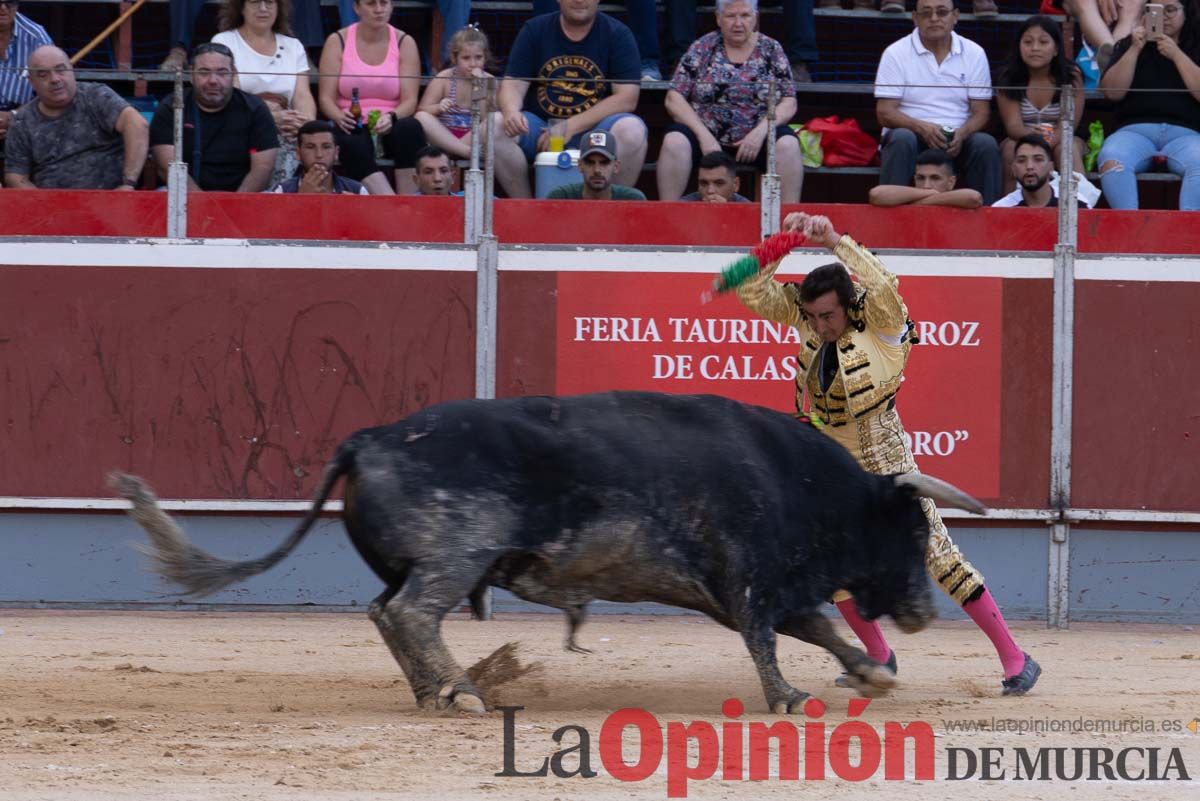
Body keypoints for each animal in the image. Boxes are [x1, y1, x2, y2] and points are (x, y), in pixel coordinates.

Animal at [108, 390, 984, 709]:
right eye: (912, 531)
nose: (925, 610)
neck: (804, 480)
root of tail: (368, 438)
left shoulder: (750, 589)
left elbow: (821, 626)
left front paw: (869, 672)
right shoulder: (752, 581)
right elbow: (771, 642)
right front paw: (790, 697)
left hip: (429, 561)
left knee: (385, 613)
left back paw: (439, 690)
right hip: (455, 554)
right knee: (410, 612)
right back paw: (462, 691)